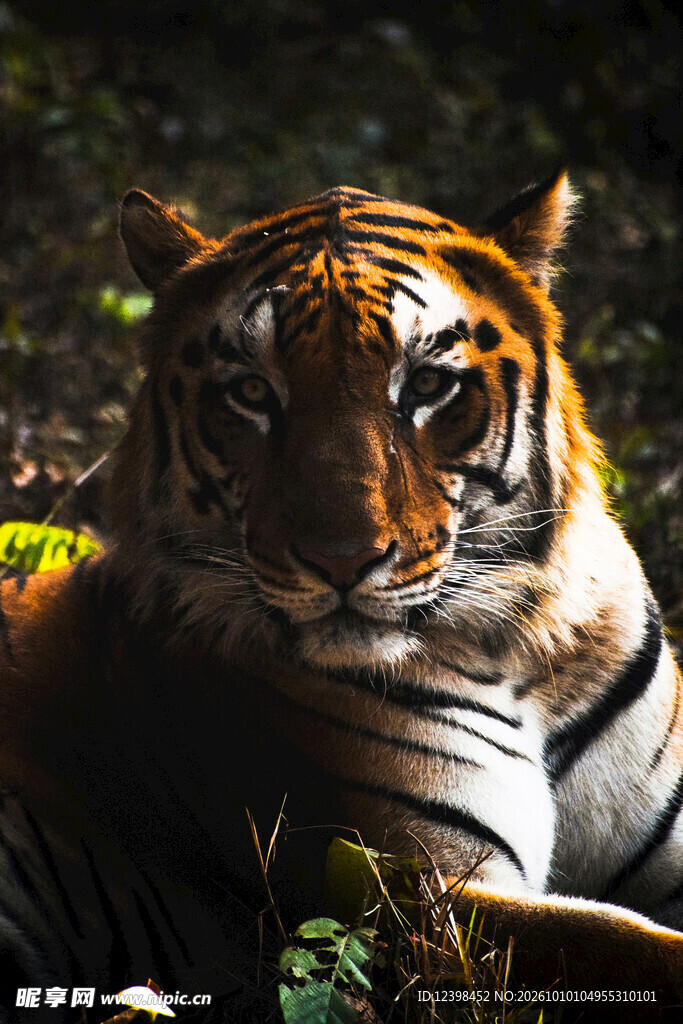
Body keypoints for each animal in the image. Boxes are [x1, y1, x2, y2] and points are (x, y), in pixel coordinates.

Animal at [0, 172, 681, 1023]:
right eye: (251, 392)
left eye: (426, 383)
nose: (340, 560)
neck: (522, 646)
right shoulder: (416, 892)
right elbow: (623, 944)